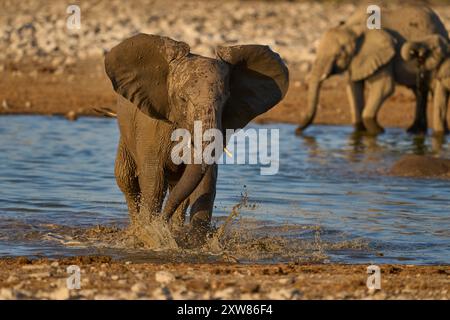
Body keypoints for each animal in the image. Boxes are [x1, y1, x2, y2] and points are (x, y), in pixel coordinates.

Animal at [104, 33, 290, 246]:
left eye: (225, 100)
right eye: (183, 99)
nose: (161, 223)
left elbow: (206, 181)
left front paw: (196, 241)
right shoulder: (151, 126)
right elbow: (154, 180)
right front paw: (150, 235)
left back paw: (173, 229)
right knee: (126, 179)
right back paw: (135, 228)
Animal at [298, 5, 448, 135]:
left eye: (339, 55)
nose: (297, 131)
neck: (353, 28)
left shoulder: (385, 55)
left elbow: (384, 87)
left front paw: (378, 131)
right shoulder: (357, 60)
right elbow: (353, 87)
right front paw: (361, 132)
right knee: (419, 90)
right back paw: (415, 132)